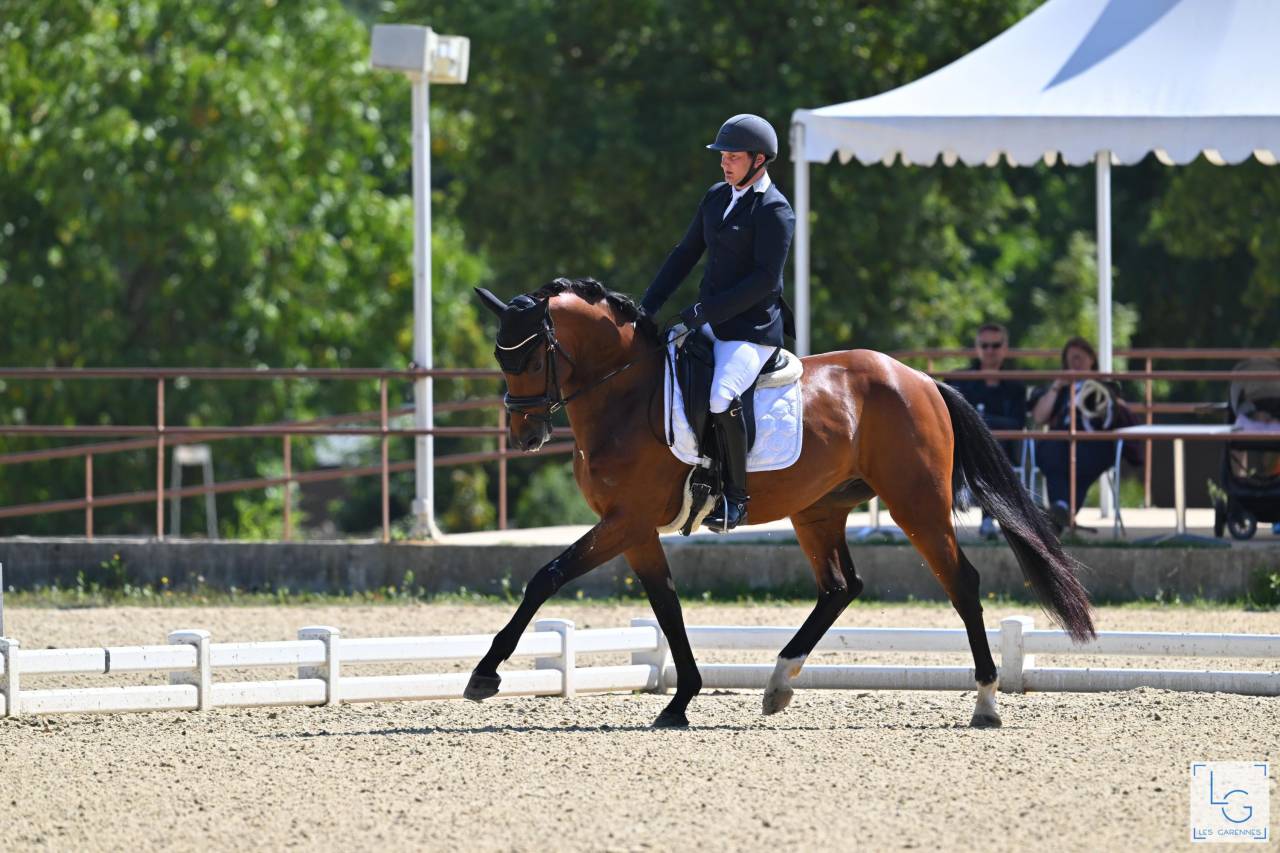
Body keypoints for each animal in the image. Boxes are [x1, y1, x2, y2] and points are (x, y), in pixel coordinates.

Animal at [464, 277, 1095, 728]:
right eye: (499, 358)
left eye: (529, 358)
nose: (525, 435)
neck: (625, 395)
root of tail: (919, 379)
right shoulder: (635, 529)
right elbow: (666, 607)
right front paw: (680, 700)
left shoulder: (626, 521)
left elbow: (545, 577)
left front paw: (485, 674)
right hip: (818, 509)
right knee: (840, 587)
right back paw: (779, 684)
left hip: (915, 503)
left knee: (960, 582)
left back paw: (986, 702)